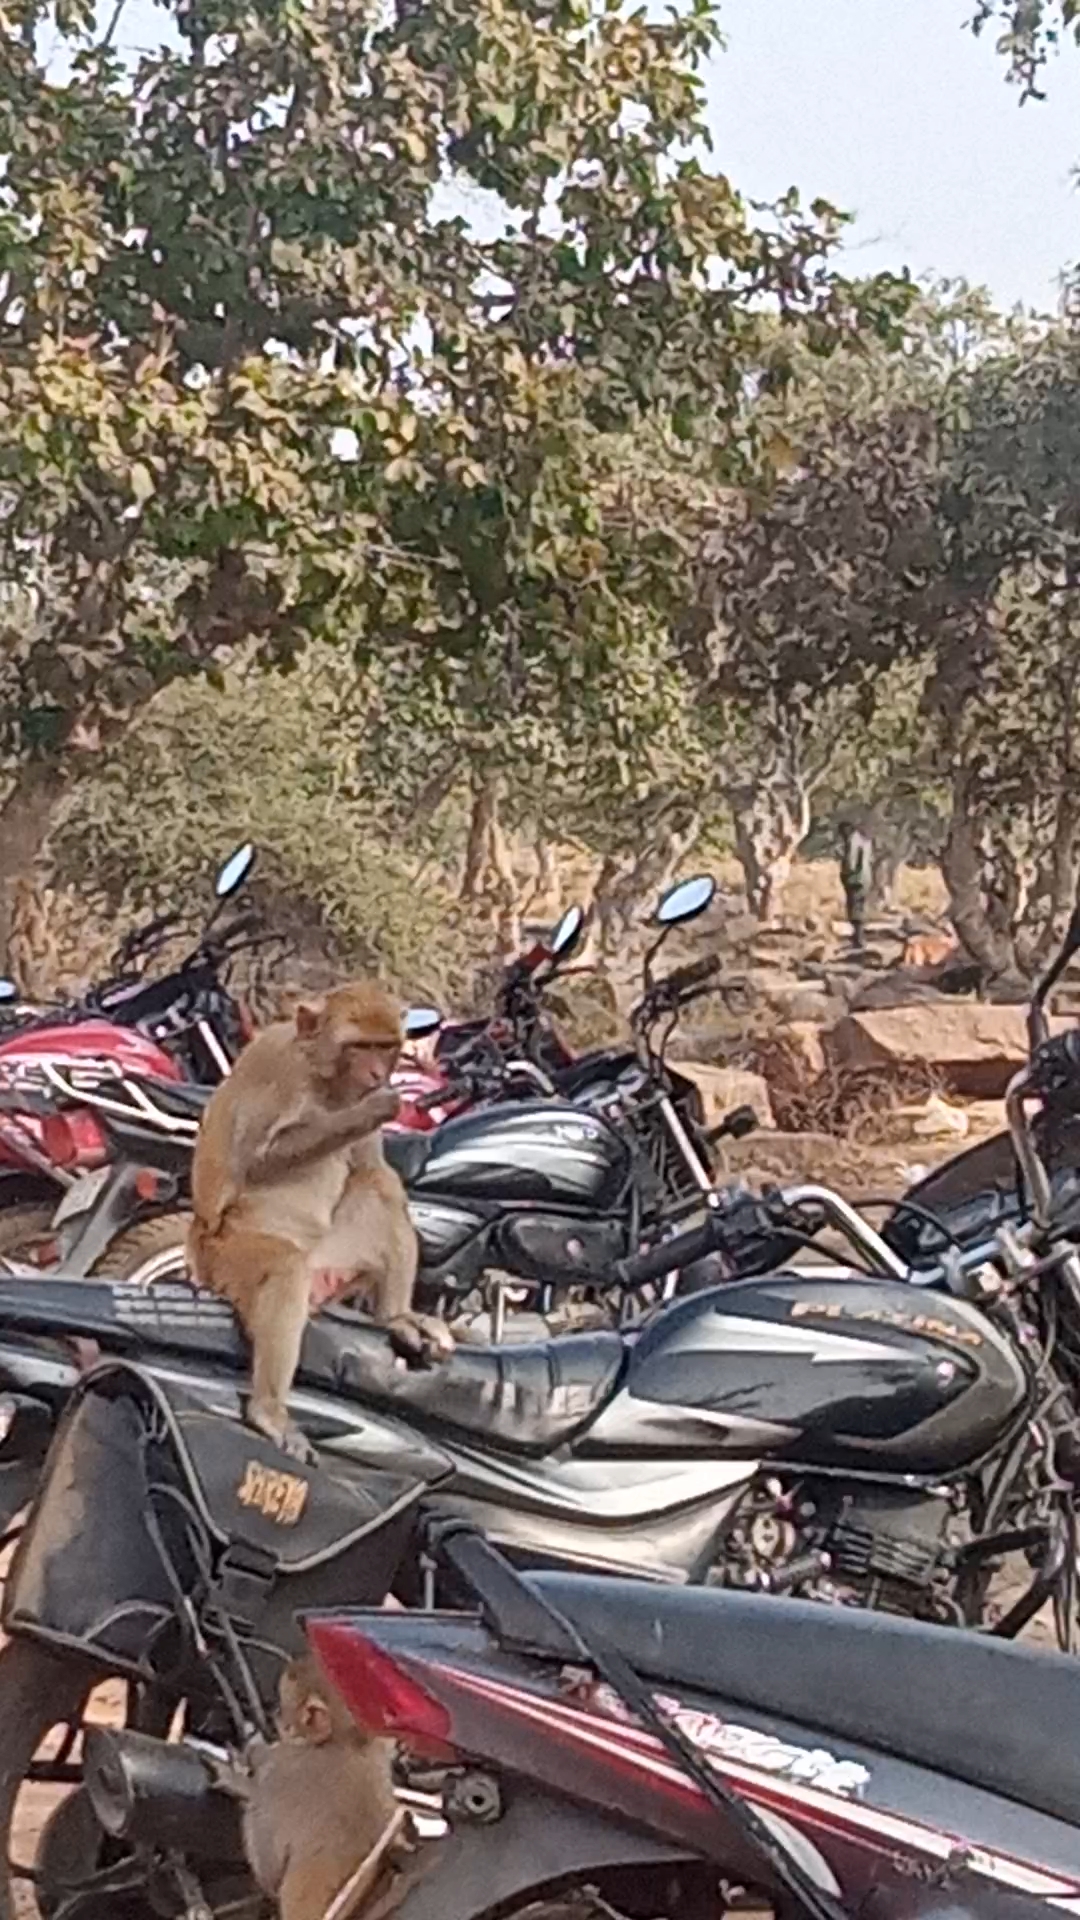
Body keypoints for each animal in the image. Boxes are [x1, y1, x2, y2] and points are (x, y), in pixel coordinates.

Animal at [189, 980, 454, 1460]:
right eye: (359, 1047)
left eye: (384, 1047)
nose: (376, 1075)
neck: (323, 1077)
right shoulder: (277, 1065)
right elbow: (257, 1159)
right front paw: (370, 1110)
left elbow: (371, 1169)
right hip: (226, 1257)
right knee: (283, 1268)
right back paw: (269, 1411)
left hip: (332, 1257)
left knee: (378, 1187)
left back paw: (396, 1316)